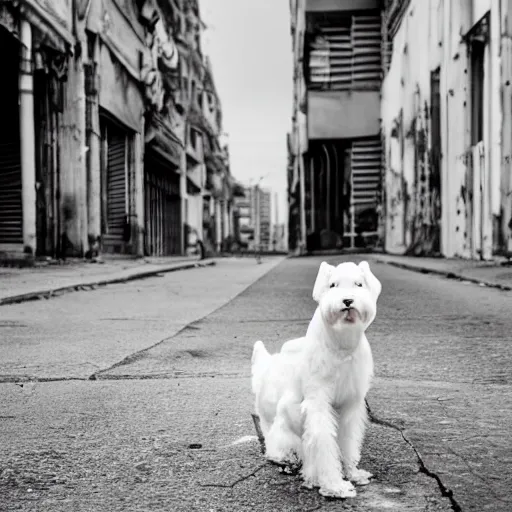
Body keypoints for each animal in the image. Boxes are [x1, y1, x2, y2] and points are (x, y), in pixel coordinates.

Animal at [250, 262, 382, 498]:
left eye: (359, 284)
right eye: (332, 285)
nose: (347, 300)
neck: (340, 345)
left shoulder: (350, 405)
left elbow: (348, 441)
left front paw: (352, 472)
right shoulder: (318, 403)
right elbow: (323, 442)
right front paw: (334, 484)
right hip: (280, 419)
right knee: (275, 444)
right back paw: (289, 459)